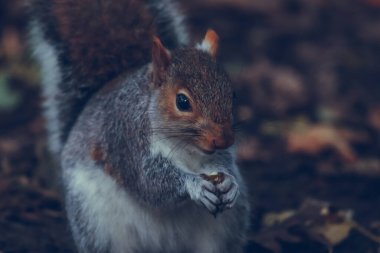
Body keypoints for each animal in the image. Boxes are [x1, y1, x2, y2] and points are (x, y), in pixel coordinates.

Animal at [29, 0, 249, 253]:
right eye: (182, 102)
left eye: (232, 95)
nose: (224, 140)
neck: (185, 147)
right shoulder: (126, 137)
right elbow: (149, 183)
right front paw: (194, 185)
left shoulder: (217, 155)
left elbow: (224, 164)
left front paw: (230, 183)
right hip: (95, 224)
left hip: (222, 230)